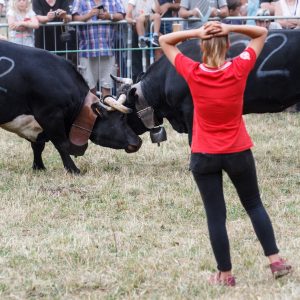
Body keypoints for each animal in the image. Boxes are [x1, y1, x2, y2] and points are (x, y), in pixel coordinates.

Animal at [0, 41, 142, 175]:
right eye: (121, 118)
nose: (138, 141)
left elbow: (38, 146)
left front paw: (39, 167)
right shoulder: (49, 115)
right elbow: (62, 144)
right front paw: (73, 169)